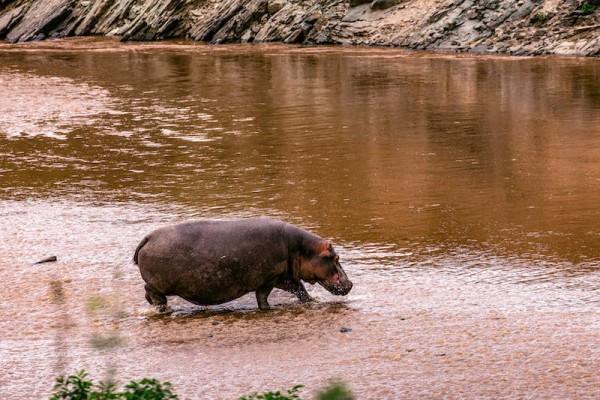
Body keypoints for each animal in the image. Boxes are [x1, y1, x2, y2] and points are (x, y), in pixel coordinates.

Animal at [132, 219, 352, 310]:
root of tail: (147, 237)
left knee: (147, 294)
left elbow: (300, 290)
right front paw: (267, 308)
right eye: (335, 257)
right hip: (157, 284)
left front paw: (312, 301)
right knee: (152, 293)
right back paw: (162, 308)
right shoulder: (269, 278)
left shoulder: (283, 276)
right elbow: (262, 296)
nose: (350, 284)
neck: (302, 249)